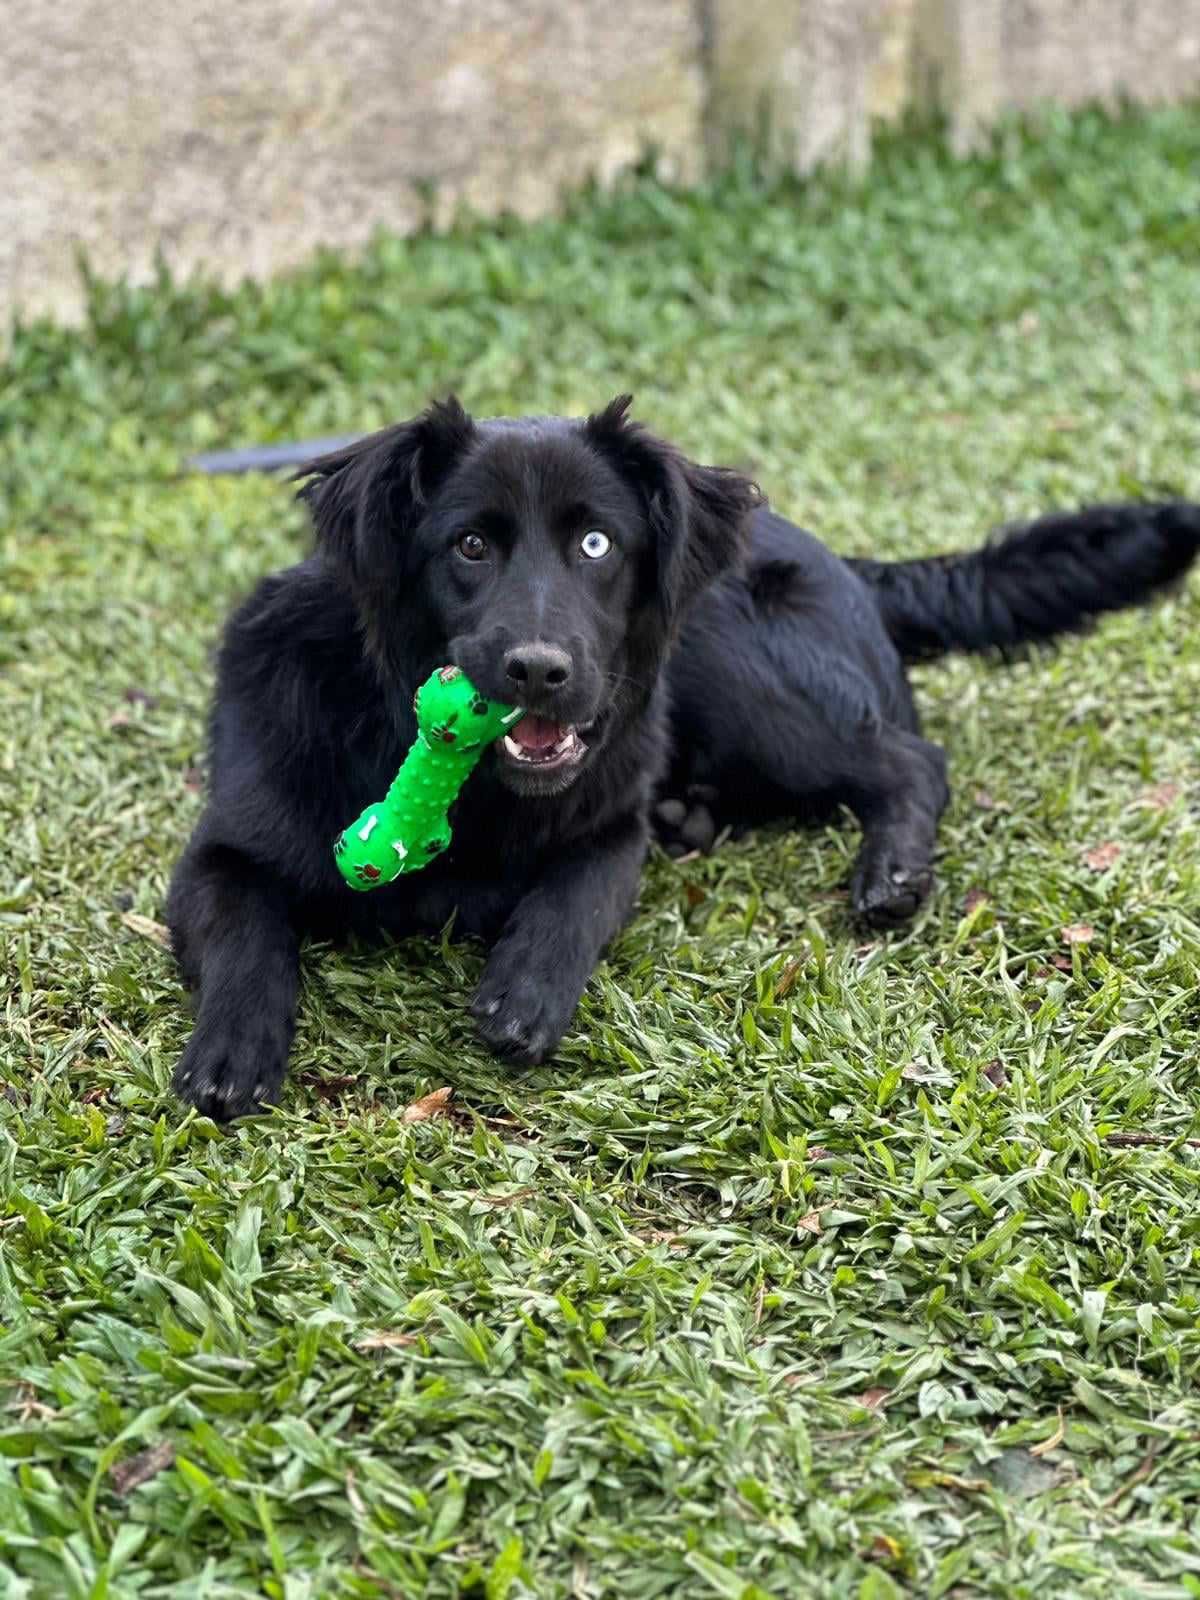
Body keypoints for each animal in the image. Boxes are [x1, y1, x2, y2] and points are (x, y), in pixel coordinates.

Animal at [171, 393, 1200, 1120]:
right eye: (468, 545)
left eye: (596, 542)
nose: (539, 671)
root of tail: (851, 563)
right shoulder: (218, 852)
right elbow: (248, 935)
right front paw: (234, 1048)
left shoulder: (606, 827)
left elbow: (576, 898)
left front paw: (527, 987)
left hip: (728, 663)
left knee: (912, 760)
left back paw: (891, 870)